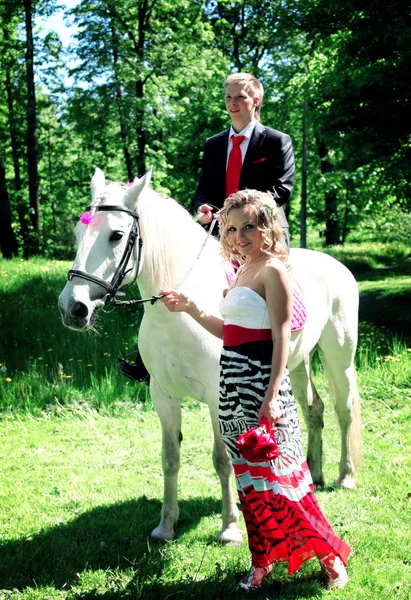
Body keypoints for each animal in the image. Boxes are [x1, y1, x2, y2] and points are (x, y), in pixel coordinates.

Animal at [58, 168, 364, 544]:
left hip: (339, 353)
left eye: (116, 235)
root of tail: (334, 264)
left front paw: (230, 527)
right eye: (78, 233)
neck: (176, 316)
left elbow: (223, 459)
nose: (72, 308)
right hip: (297, 362)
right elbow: (170, 458)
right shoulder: (163, 396)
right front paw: (166, 526)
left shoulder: (219, 398)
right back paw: (315, 474)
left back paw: (345, 477)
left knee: (343, 409)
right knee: (314, 410)